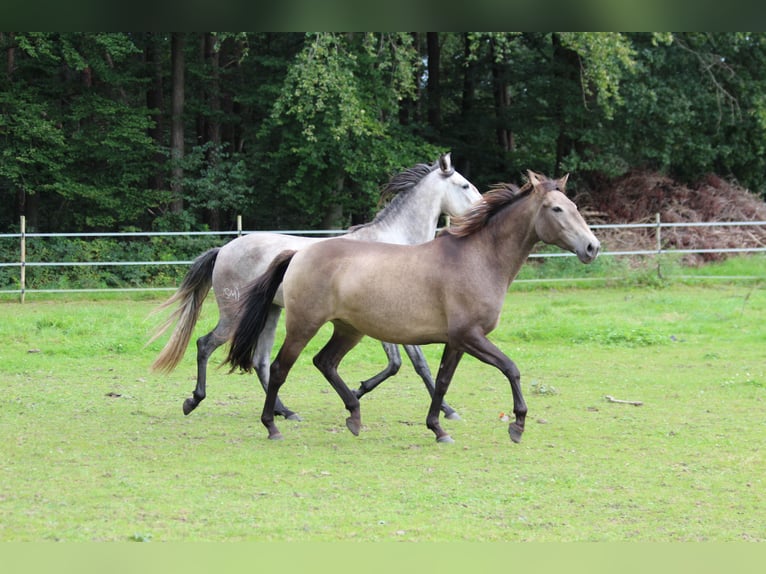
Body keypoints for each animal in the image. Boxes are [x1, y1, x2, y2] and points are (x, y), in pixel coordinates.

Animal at [149, 155, 480, 420]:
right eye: (465, 186)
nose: (482, 206)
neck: (393, 241)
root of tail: (224, 249)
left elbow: (401, 364)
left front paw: (358, 392)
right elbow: (415, 364)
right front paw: (447, 410)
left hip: (270, 313)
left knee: (260, 361)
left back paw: (284, 411)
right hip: (235, 314)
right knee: (205, 345)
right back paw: (194, 400)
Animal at [226, 171, 600, 446]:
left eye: (573, 205)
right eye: (556, 209)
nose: (592, 247)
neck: (478, 259)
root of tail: (298, 254)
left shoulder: (457, 341)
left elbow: (442, 380)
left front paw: (439, 428)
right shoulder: (471, 336)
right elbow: (511, 369)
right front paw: (517, 425)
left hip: (349, 330)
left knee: (325, 362)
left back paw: (354, 415)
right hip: (304, 325)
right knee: (278, 368)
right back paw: (274, 424)